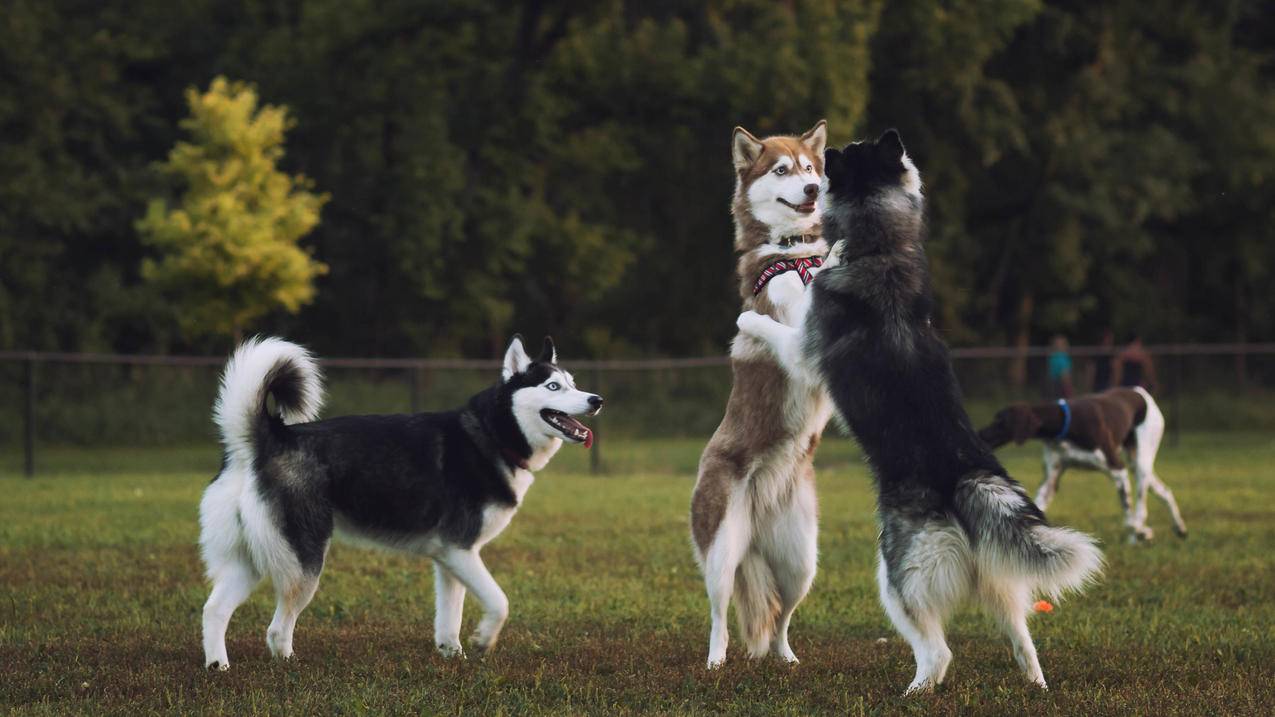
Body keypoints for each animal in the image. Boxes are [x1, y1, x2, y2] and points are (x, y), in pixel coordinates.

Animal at [197, 331, 601, 668]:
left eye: (574, 384)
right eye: (553, 386)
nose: (596, 400)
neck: (493, 434)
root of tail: (265, 440)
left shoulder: (450, 558)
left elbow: (450, 617)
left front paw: (453, 655)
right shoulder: (461, 549)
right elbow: (499, 602)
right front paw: (484, 640)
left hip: (251, 560)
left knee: (214, 609)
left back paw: (219, 666)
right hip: (303, 563)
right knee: (277, 627)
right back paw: (288, 665)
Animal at [693, 119, 831, 668]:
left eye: (811, 167)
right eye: (782, 170)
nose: (813, 189)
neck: (795, 253)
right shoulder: (801, 342)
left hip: (801, 561)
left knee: (779, 620)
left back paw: (786, 658)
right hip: (721, 551)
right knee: (719, 614)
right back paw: (715, 661)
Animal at [739, 129, 1106, 694]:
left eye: (838, 156)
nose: (824, 160)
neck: (882, 244)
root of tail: (965, 476)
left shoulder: (804, 349)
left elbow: (778, 323)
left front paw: (749, 317)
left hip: (897, 577)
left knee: (939, 652)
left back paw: (915, 690)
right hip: (998, 580)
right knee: (1021, 636)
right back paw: (1036, 683)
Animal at [979, 385, 1188, 540]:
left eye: (1000, 421)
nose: (981, 435)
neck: (1066, 423)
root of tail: (1140, 391)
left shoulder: (1118, 469)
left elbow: (1129, 519)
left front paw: (1141, 531)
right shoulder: (1050, 482)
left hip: (1141, 464)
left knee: (1141, 509)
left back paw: (1143, 532)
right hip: (1138, 465)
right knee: (1165, 492)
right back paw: (1179, 528)